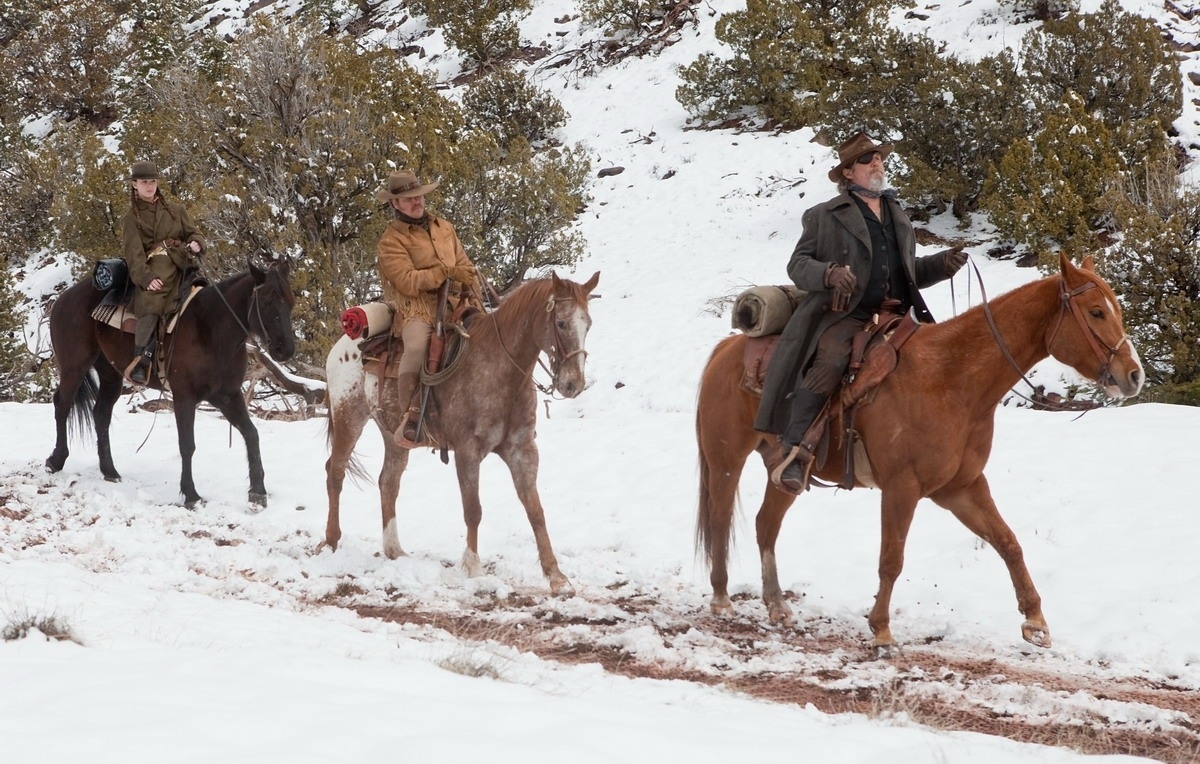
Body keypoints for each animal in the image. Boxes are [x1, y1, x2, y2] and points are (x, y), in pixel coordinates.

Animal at [48, 259, 298, 508]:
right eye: (265, 303)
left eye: (290, 302)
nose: (285, 350)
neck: (210, 328)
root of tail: (65, 297)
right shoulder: (184, 397)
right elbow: (187, 445)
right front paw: (191, 494)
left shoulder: (228, 396)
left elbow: (251, 434)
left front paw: (258, 491)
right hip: (74, 367)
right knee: (62, 405)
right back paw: (56, 460)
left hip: (111, 375)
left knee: (100, 414)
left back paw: (109, 470)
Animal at [324, 271, 600, 592]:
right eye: (561, 323)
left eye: (588, 324)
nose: (573, 384)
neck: (500, 368)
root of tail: (343, 345)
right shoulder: (467, 452)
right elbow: (473, 510)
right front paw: (474, 568)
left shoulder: (522, 450)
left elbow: (535, 510)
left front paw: (556, 576)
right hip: (349, 416)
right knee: (336, 471)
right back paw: (331, 541)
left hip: (393, 435)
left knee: (388, 481)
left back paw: (394, 550)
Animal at [696, 254, 1142, 657]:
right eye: (1096, 311)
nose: (1133, 375)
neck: (951, 379)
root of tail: (726, 348)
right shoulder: (902, 487)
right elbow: (891, 559)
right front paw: (881, 631)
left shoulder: (961, 487)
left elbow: (1008, 542)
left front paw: (1035, 622)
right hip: (725, 459)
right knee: (720, 517)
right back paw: (720, 597)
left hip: (785, 471)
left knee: (765, 525)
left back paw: (777, 605)